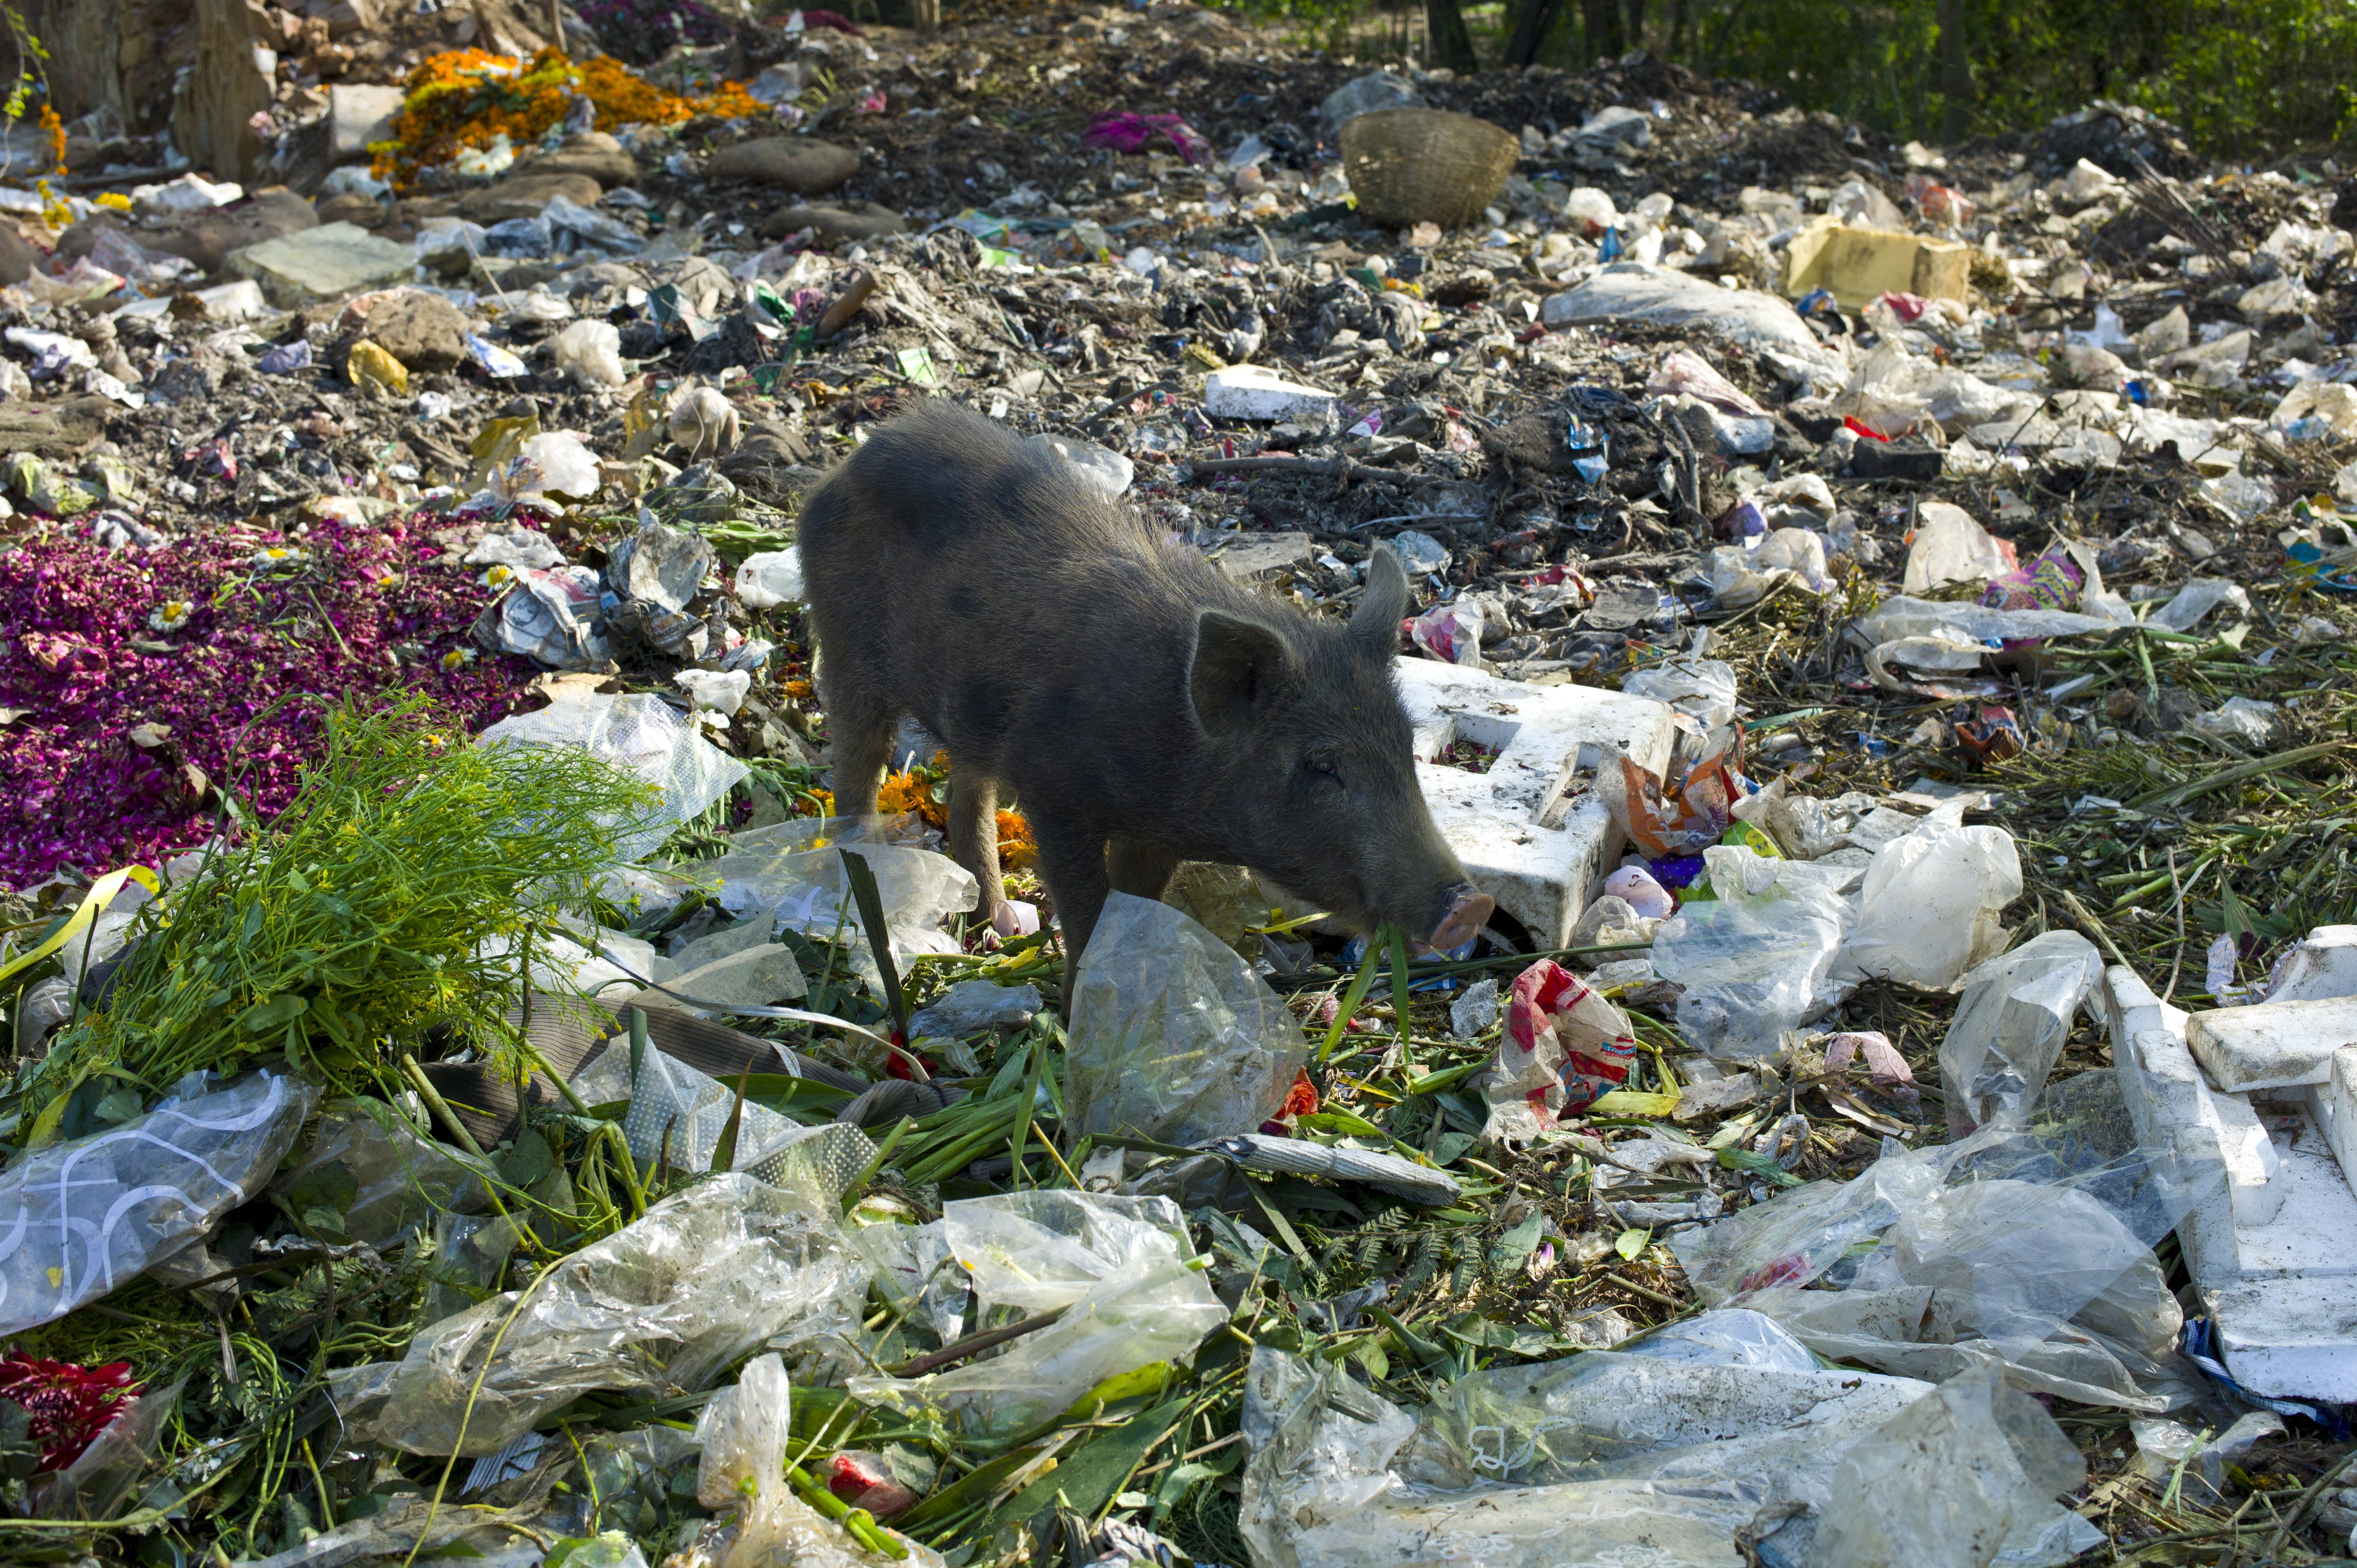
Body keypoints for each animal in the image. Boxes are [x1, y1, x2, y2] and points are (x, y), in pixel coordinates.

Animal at [792, 400, 1490, 990]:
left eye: (1405, 748)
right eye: (1321, 765)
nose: (1471, 904)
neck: (1173, 748)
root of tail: (844, 465)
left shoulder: (1153, 836)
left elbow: (1134, 904)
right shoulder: (1056, 793)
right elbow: (1086, 906)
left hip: (970, 718)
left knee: (968, 811)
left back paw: (1003, 926)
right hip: (848, 651)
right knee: (856, 774)